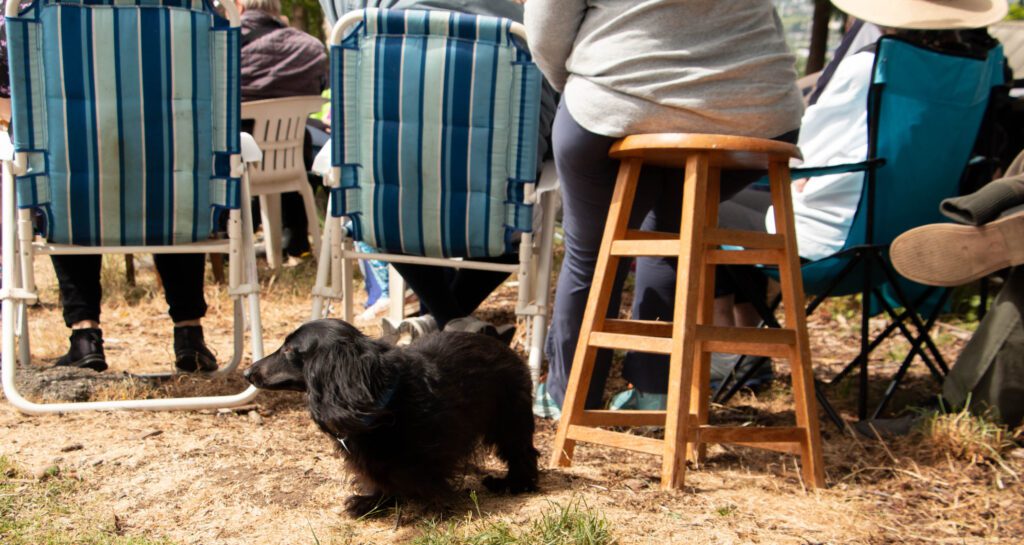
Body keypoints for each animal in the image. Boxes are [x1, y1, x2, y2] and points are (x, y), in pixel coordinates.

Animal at [244, 319, 540, 514]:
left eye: (289, 350)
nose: (248, 372)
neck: (380, 402)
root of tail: (500, 343)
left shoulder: (432, 450)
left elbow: (428, 477)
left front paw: (435, 506)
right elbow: (382, 480)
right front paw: (374, 502)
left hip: (509, 418)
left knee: (521, 452)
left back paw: (516, 484)